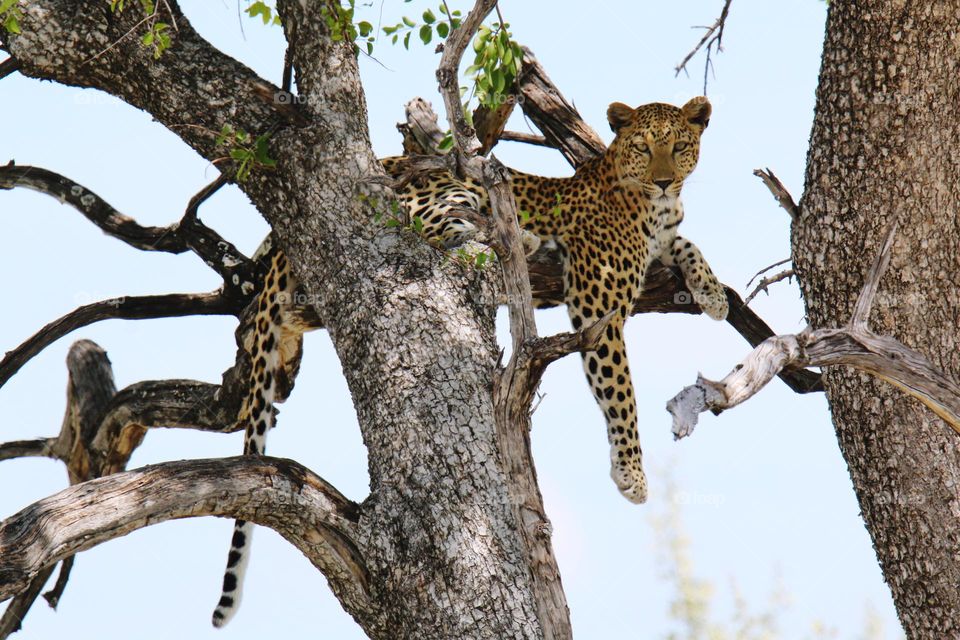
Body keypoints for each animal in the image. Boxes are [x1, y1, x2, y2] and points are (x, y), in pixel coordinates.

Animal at [211, 97, 727, 627]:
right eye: (644, 147)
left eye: (679, 147)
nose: (664, 180)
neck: (657, 206)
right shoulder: (598, 307)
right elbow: (621, 392)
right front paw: (631, 473)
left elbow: (688, 245)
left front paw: (713, 293)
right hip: (445, 190)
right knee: (431, 224)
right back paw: (520, 237)